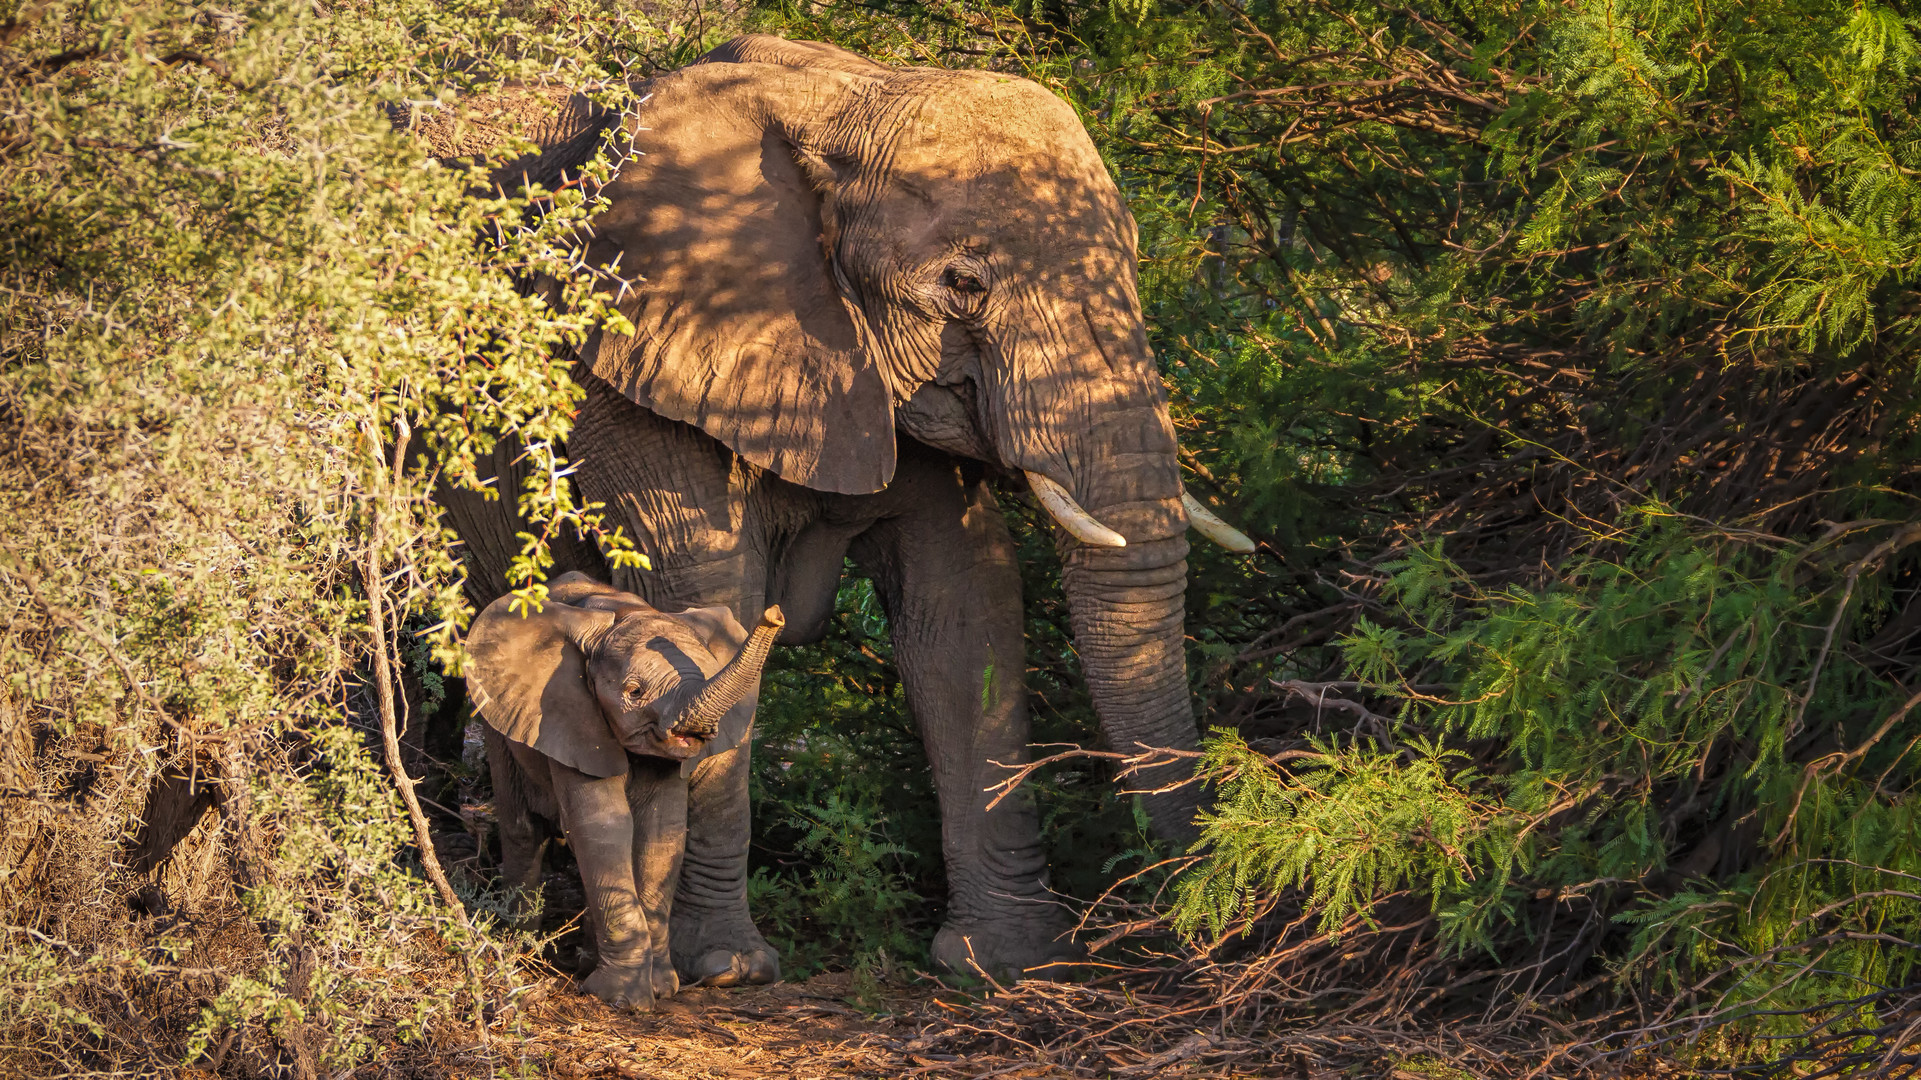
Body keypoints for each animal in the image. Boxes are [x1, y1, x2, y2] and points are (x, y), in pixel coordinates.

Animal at [462, 568, 779, 1006]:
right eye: (634, 692)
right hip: (498, 721)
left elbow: (660, 833)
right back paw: (519, 947)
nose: (775, 614)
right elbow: (602, 826)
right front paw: (620, 997)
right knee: (522, 828)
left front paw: (659, 988)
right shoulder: (568, 714)